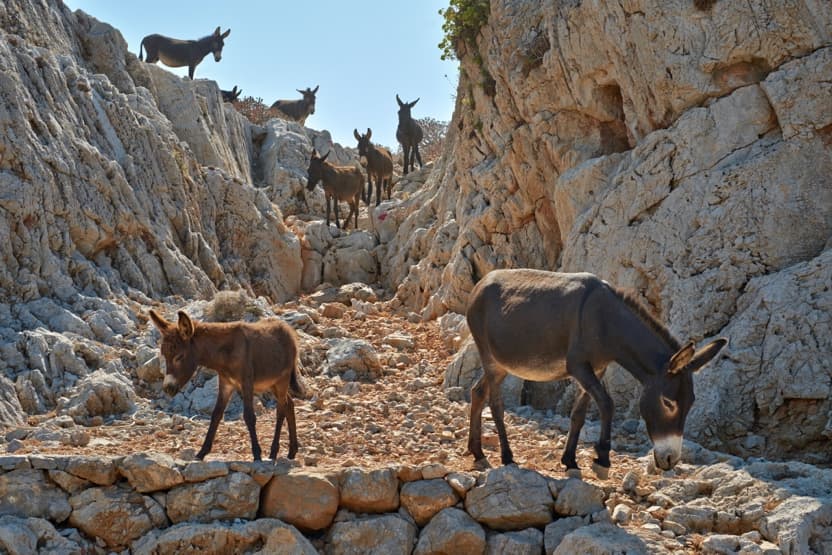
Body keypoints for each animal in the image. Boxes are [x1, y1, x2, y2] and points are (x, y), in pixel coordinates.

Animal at [150, 310, 306, 462]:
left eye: (180, 356)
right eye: (164, 356)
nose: (168, 388)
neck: (225, 353)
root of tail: (288, 330)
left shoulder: (247, 383)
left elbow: (249, 416)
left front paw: (257, 454)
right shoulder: (226, 384)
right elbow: (216, 415)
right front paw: (201, 453)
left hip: (282, 380)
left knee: (281, 410)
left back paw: (274, 452)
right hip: (272, 384)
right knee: (289, 405)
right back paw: (292, 452)